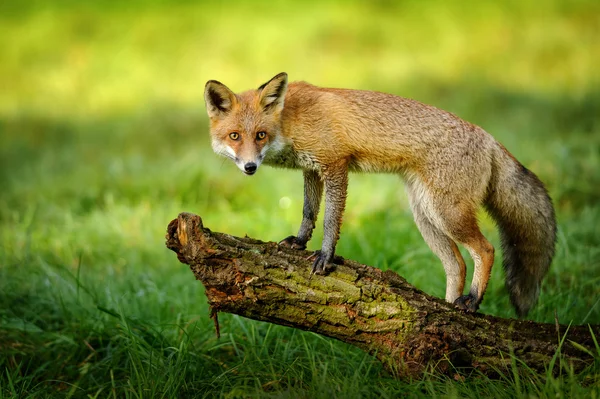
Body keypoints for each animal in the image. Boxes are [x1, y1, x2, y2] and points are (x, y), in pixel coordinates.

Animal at [204, 71, 556, 316]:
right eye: (235, 136)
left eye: (260, 135)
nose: (250, 167)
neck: (291, 119)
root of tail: (490, 138)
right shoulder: (312, 170)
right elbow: (308, 212)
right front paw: (299, 242)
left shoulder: (335, 165)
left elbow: (330, 220)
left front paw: (325, 257)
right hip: (425, 215)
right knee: (457, 265)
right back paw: (445, 314)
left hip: (447, 213)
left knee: (485, 250)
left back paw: (472, 301)